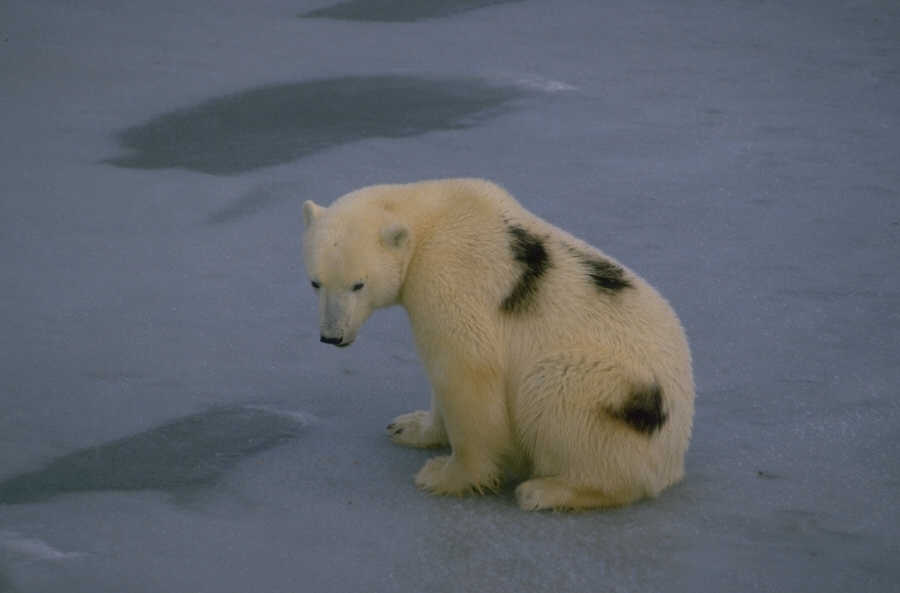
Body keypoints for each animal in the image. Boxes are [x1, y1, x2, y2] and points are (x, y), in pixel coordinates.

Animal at [301, 178, 694, 510]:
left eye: (358, 284)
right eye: (315, 282)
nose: (332, 336)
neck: (434, 214)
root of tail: (674, 453)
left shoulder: (449, 275)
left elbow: (466, 373)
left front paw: (444, 475)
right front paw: (409, 427)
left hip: (610, 396)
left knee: (554, 392)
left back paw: (545, 491)